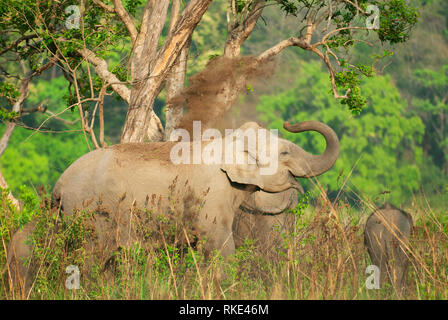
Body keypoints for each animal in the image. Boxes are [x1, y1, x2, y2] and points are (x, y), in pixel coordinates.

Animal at [5, 120, 340, 290]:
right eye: (285, 153)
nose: (289, 122)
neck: (225, 143)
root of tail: (58, 185)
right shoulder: (212, 197)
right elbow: (222, 247)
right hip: (91, 214)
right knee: (91, 261)